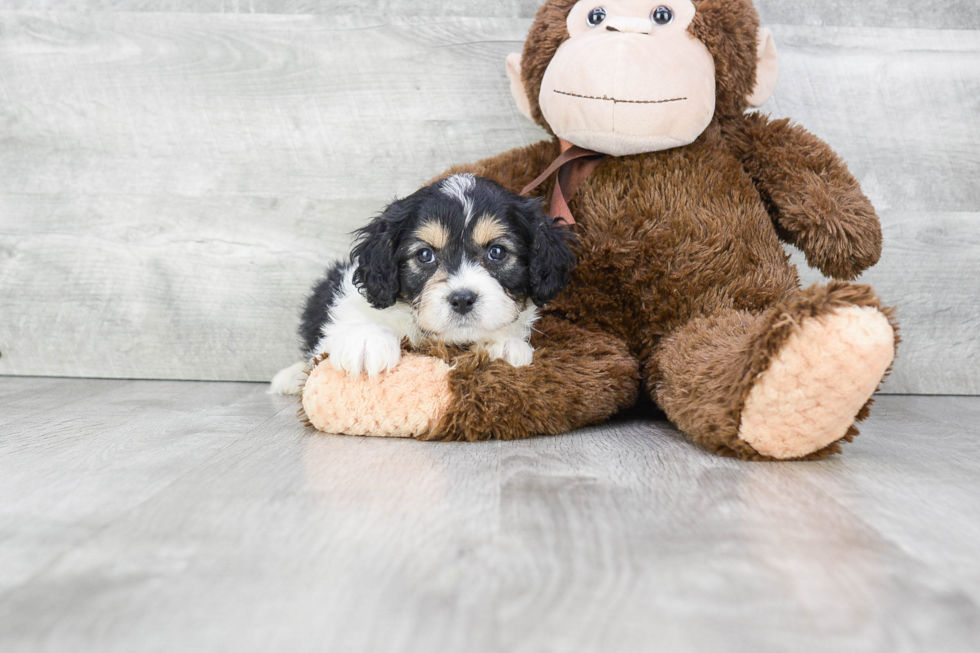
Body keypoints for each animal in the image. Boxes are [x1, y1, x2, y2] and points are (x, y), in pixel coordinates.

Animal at [270, 173, 576, 394]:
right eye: (425, 255)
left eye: (497, 252)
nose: (462, 299)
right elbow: (351, 318)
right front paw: (366, 343)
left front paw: (504, 346)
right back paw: (289, 377)